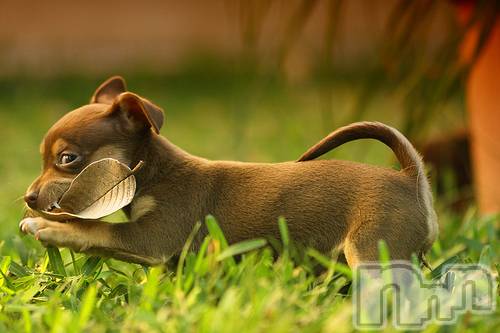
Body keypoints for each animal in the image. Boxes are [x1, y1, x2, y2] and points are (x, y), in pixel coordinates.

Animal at [19, 76, 436, 268]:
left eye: (67, 159)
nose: (28, 198)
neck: (155, 173)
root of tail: (409, 177)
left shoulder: (153, 238)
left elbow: (97, 230)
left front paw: (48, 228)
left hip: (372, 249)